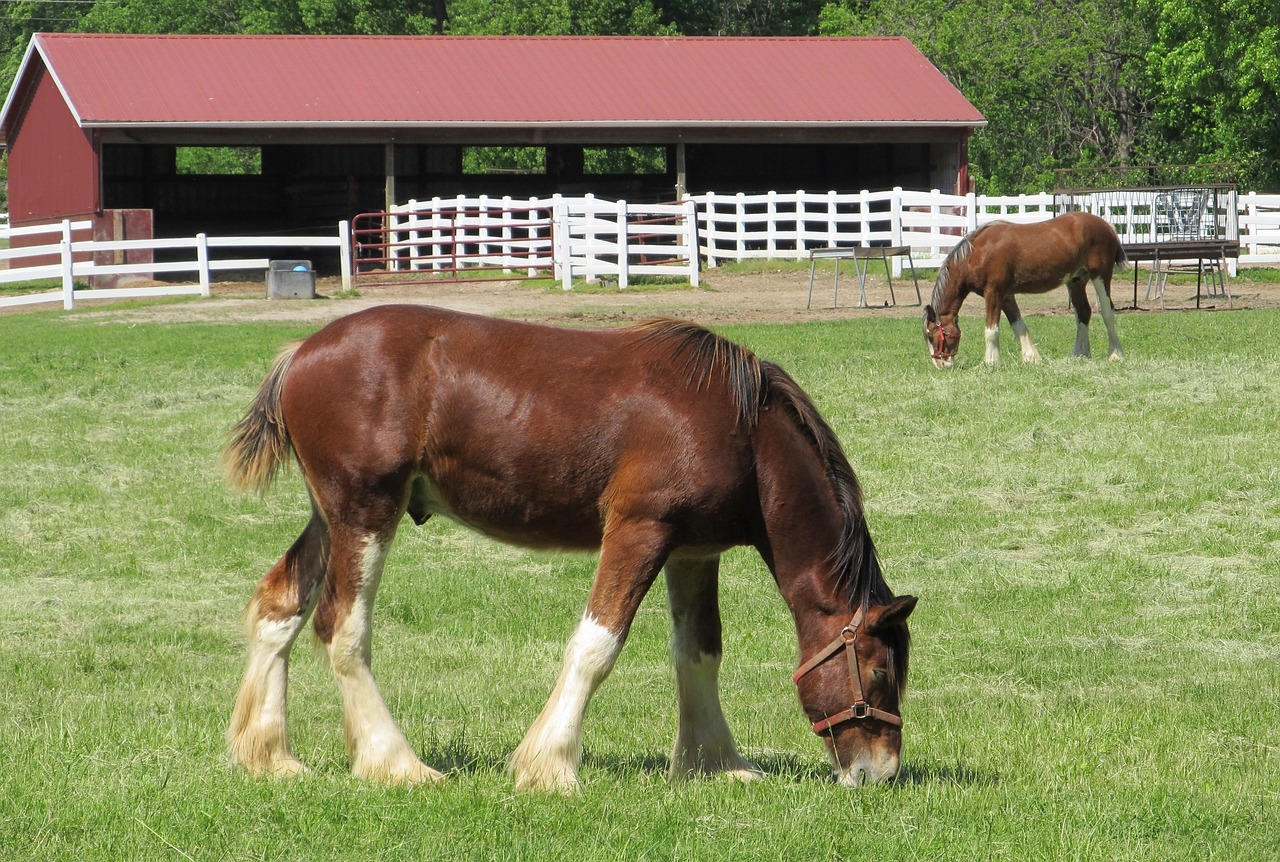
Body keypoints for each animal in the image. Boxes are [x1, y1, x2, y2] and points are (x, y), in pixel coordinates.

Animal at [225, 304, 916, 794]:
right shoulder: (638, 531)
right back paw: (395, 763)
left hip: (330, 519)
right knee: (342, 628)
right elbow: (597, 646)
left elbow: (699, 653)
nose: (878, 773)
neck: (743, 431)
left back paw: (270, 756)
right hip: (365, 513)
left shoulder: (693, 553)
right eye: (882, 672)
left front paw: (714, 761)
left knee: (279, 608)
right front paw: (550, 765)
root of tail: (300, 353)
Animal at [926, 213, 1126, 368]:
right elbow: (1018, 325)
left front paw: (990, 362)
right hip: (1076, 281)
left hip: (1100, 275)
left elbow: (991, 330)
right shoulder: (1006, 296)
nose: (941, 364)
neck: (976, 254)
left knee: (1107, 312)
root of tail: (1107, 226)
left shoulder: (994, 293)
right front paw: (1031, 358)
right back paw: (1079, 354)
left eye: (931, 335)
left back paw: (1116, 354)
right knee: (1083, 313)